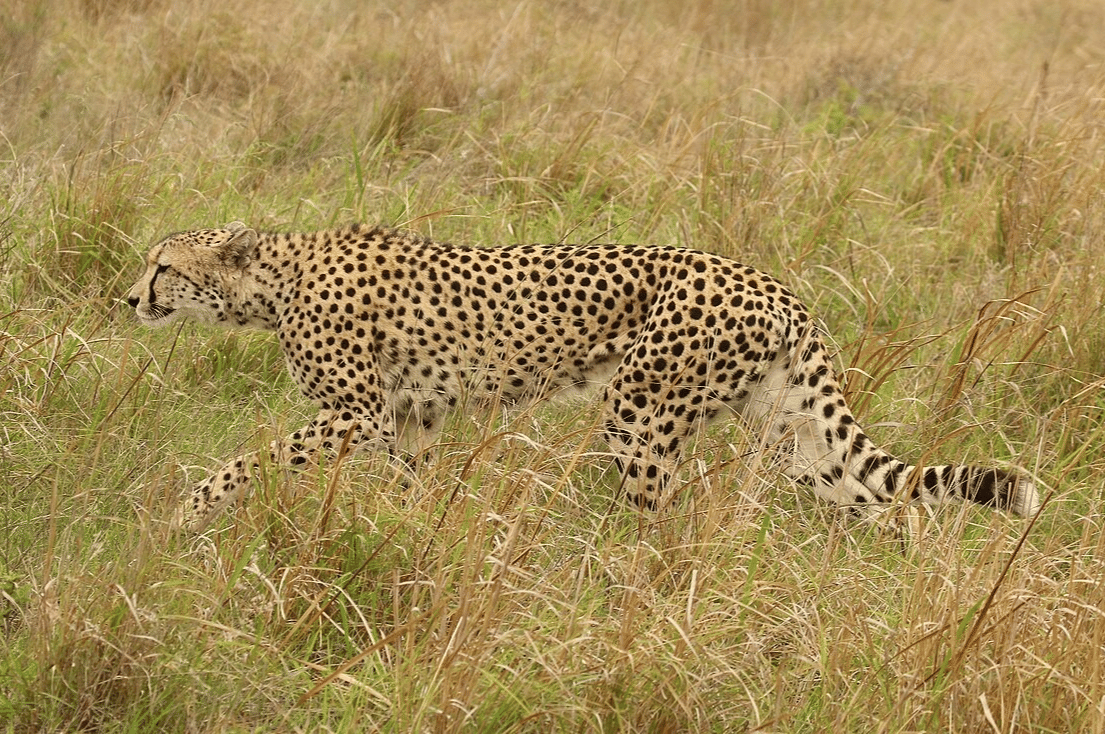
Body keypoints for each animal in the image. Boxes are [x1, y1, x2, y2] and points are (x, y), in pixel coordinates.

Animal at [125, 221, 1040, 532]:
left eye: (162, 265)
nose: (128, 296)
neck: (270, 283)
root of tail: (772, 283)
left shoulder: (361, 414)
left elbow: (246, 461)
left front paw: (184, 514)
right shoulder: (412, 420)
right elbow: (412, 489)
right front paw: (410, 544)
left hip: (639, 413)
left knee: (659, 525)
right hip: (797, 438)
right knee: (888, 507)